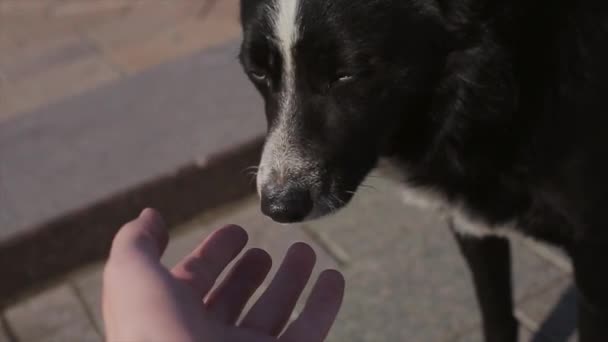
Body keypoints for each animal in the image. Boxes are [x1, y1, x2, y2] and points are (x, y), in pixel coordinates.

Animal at [238, 1, 608, 340]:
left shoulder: (593, 255)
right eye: (256, 72)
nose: (279, 207)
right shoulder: (472, 222)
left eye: (347, 73)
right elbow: (497, 314)